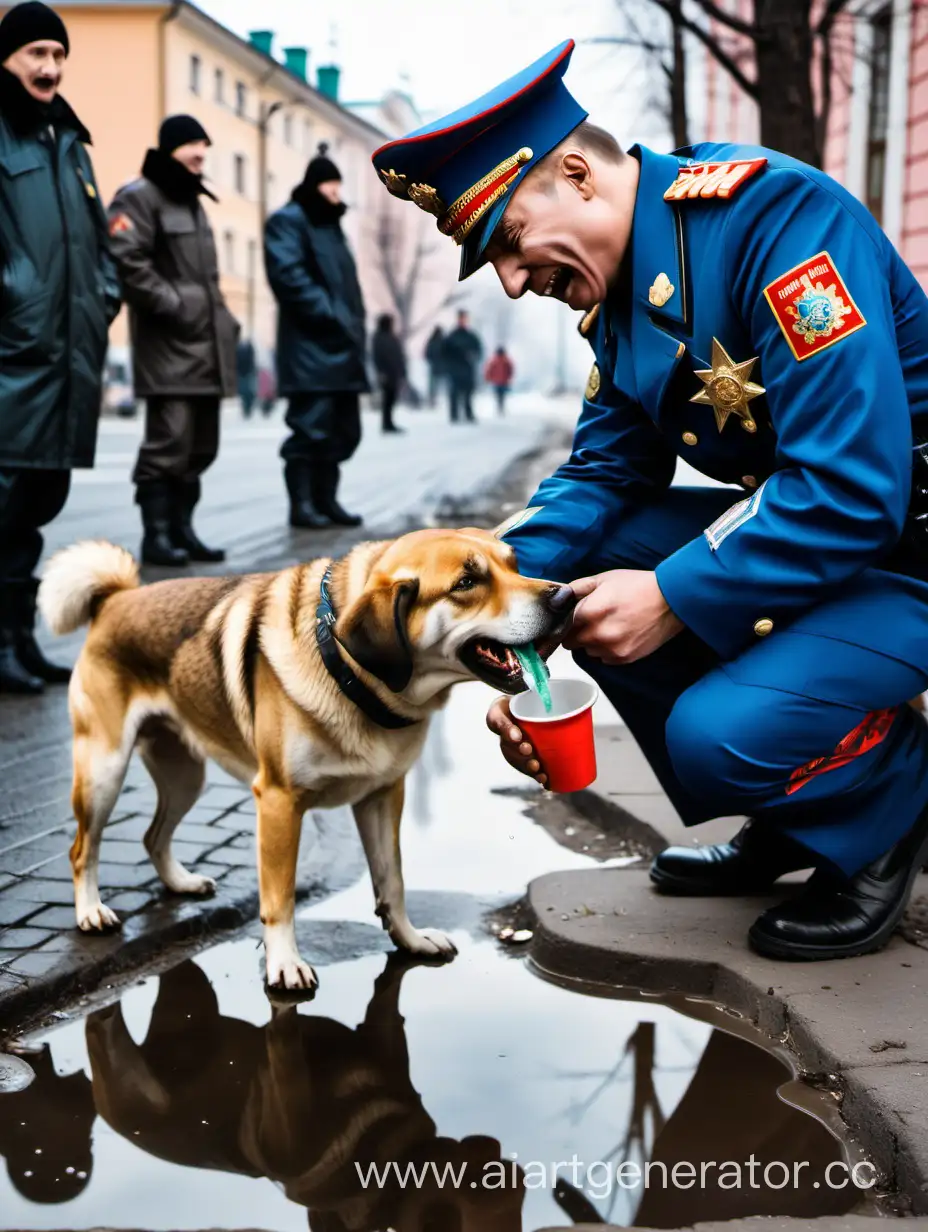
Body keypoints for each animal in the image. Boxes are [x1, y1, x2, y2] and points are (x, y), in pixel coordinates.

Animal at [38, 529, 557, 990]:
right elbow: (279, 897)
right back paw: (90, 912)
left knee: (153, 835)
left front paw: (410, 941)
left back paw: (180, 883)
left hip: (185, 774)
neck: (351, 675)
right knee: (82, 849)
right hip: (104, 771)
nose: (562, 596)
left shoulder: (382, 795)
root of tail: (115, 600)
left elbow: (392, 881)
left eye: (515, 563)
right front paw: (284, 965)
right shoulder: (278, 802)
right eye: (467, 582)